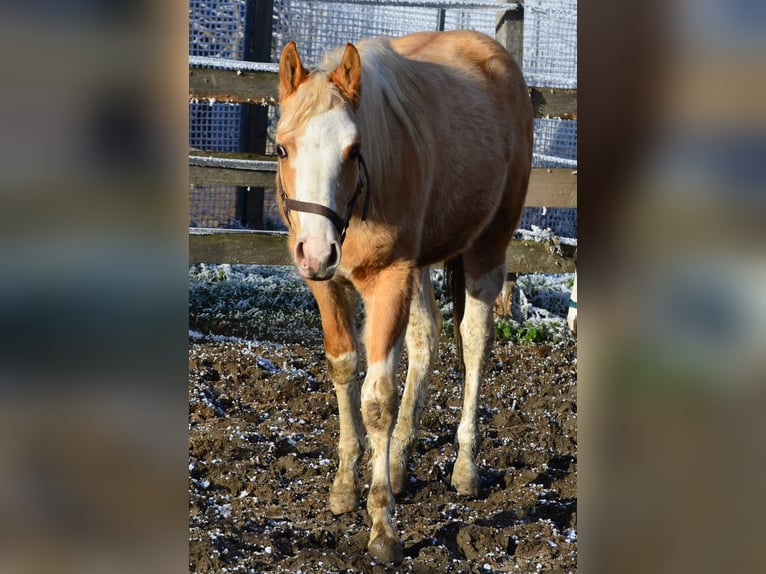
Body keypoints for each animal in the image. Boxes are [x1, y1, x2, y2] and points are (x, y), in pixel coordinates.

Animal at [276, 29, 536, 564]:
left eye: (354, 150)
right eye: (282, 149)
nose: (317, 249)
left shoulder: (389, 279)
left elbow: (377, 399)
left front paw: (383, 529)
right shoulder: (326, 283)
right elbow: (343, 367)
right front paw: (344, 486)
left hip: (486, 247)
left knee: (474, 342)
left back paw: (464, 468)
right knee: (426, 337)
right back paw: (397, 462)